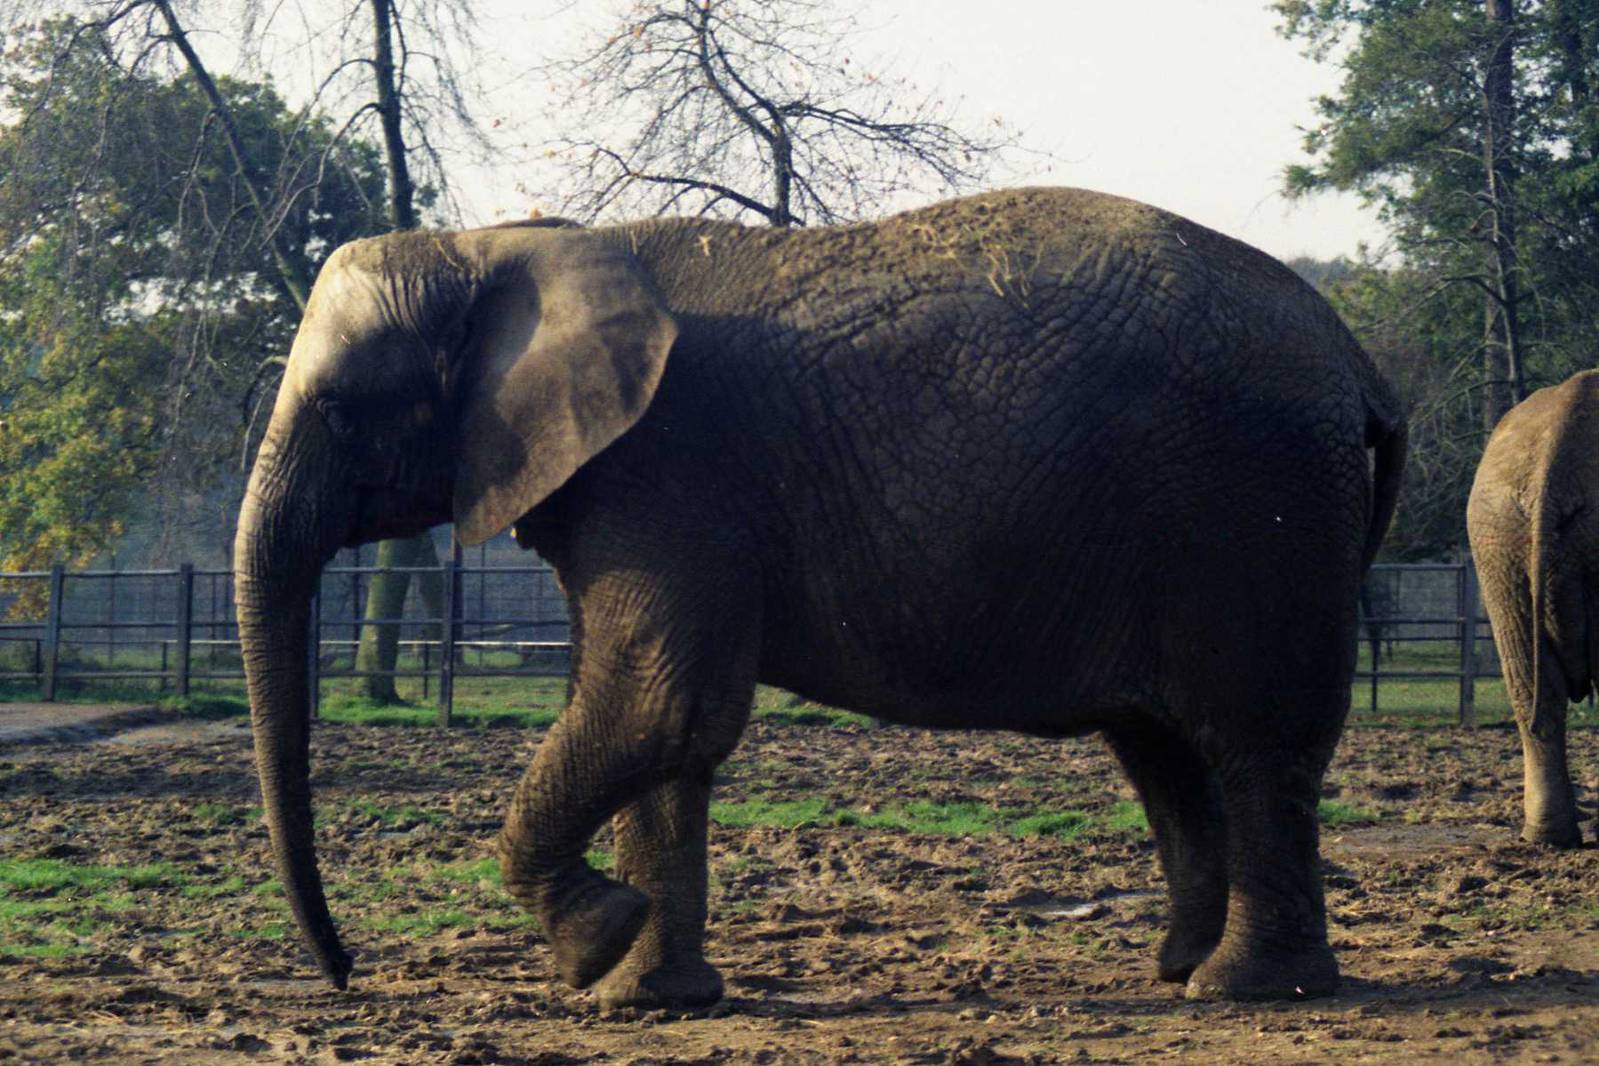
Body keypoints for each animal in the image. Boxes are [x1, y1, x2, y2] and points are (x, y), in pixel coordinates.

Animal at [233, 186, 1406, 1010]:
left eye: (340, 412)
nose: (346, 977)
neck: (508, 243)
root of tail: (1359, 360)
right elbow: (665, 733)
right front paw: (642, 999)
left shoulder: (671, 467)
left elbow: (660, 702)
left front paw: (596, 943)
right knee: (1163, 751)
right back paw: (1177, 968)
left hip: (1252, 503)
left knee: (1252, 740)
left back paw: (1245, 989)